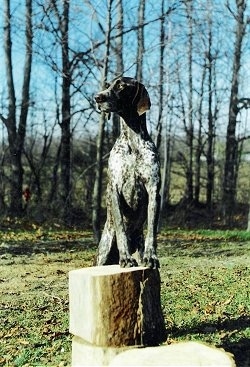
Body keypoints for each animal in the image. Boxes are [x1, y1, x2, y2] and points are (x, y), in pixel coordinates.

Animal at [94, 77, 160, 270]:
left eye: (121, 85)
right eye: (107, 85)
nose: (97, 97)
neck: (132, 142)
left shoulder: (154, 189)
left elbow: (152, 229)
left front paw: (151, 257)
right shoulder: (114, 190)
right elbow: (121, 228)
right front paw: (125, 259)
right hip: (103, 254)